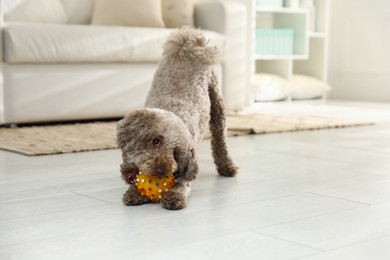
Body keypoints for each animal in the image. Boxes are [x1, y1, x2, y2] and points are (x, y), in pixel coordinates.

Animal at [116, 27, 238, 209]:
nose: (162, 170)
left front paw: (174, 196)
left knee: (220, 138)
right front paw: (133, 191)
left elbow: (182, 183)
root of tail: (190, 43)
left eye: (175, 153)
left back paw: (227, 165)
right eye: (156, 141)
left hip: (217, 103)